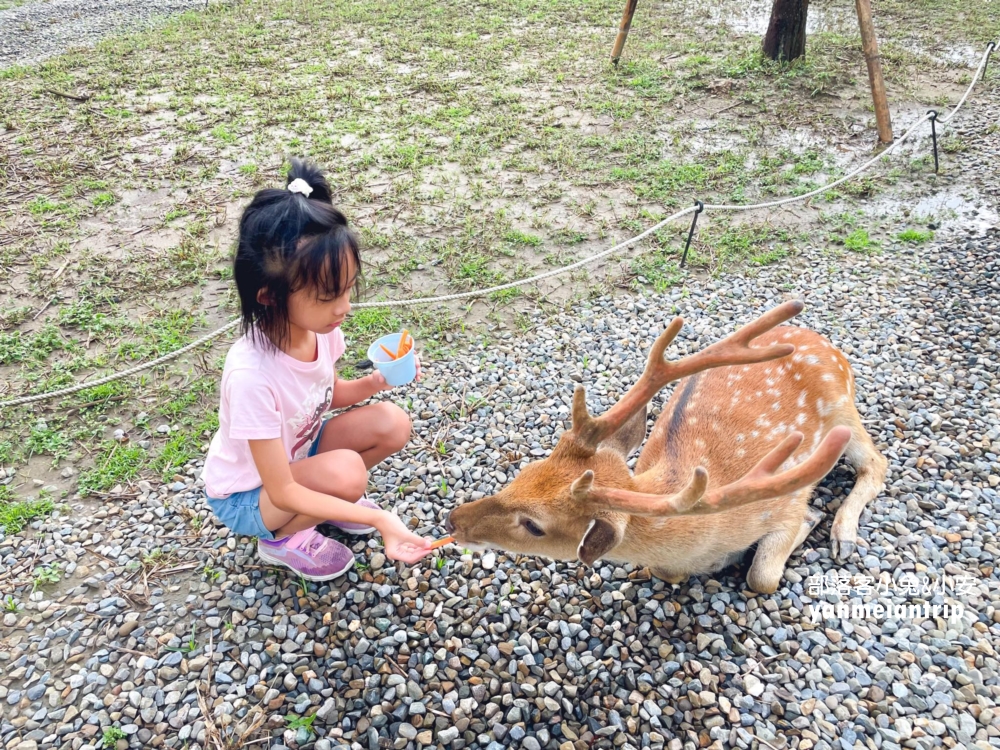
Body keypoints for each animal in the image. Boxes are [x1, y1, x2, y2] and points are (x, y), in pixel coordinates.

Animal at [450, 300, 888, 592]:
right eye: (523, 473)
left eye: (534, 525)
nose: (453, 520)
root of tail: (822, 340)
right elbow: (667, 572)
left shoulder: (786, 503)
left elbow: (762, 576)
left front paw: (805, 527)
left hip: (844, 411)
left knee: (877, 462)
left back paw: (844, 537)